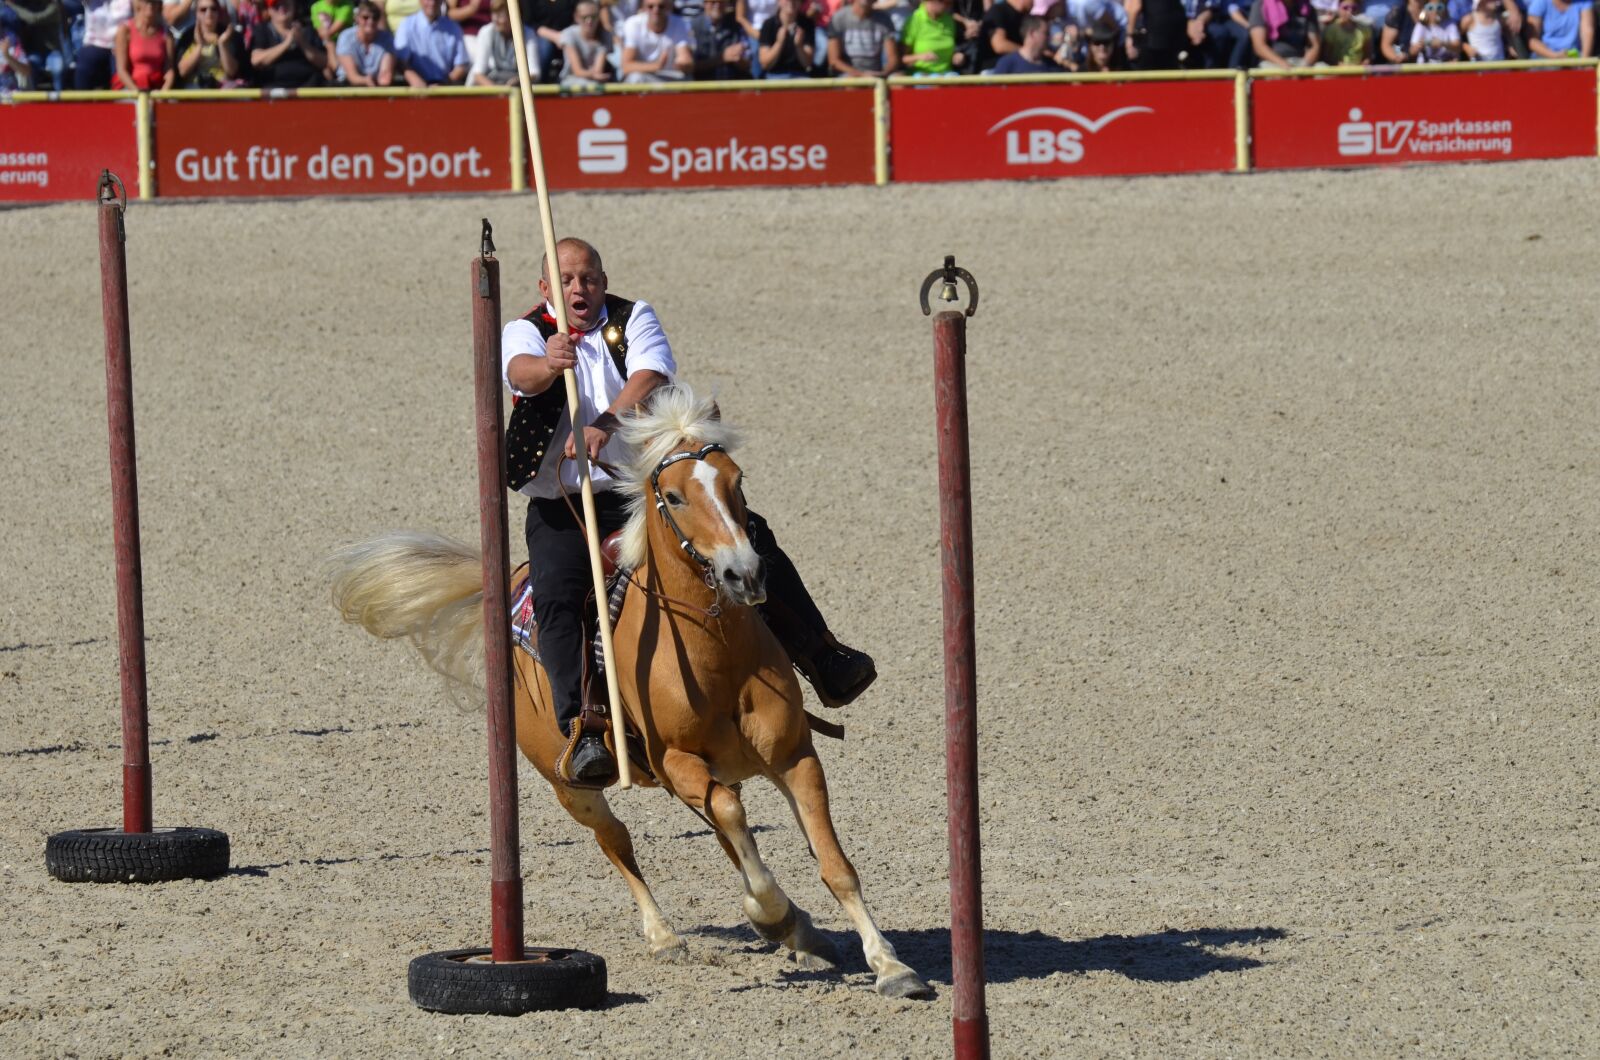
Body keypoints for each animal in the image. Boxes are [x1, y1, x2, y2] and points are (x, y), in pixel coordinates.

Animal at [329, 384, 932, 1000]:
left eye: (736, 480)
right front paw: (772, 914)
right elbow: (732, 824)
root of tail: (513, 583)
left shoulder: (794, 756)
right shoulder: (678, 764)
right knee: (619, 840)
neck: (715, 651)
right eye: (674, 494)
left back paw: (801, 935)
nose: (744, 574)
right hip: (569, 785)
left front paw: (889, 966)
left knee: (725, 830)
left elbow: (833, 863)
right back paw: (668, 936)